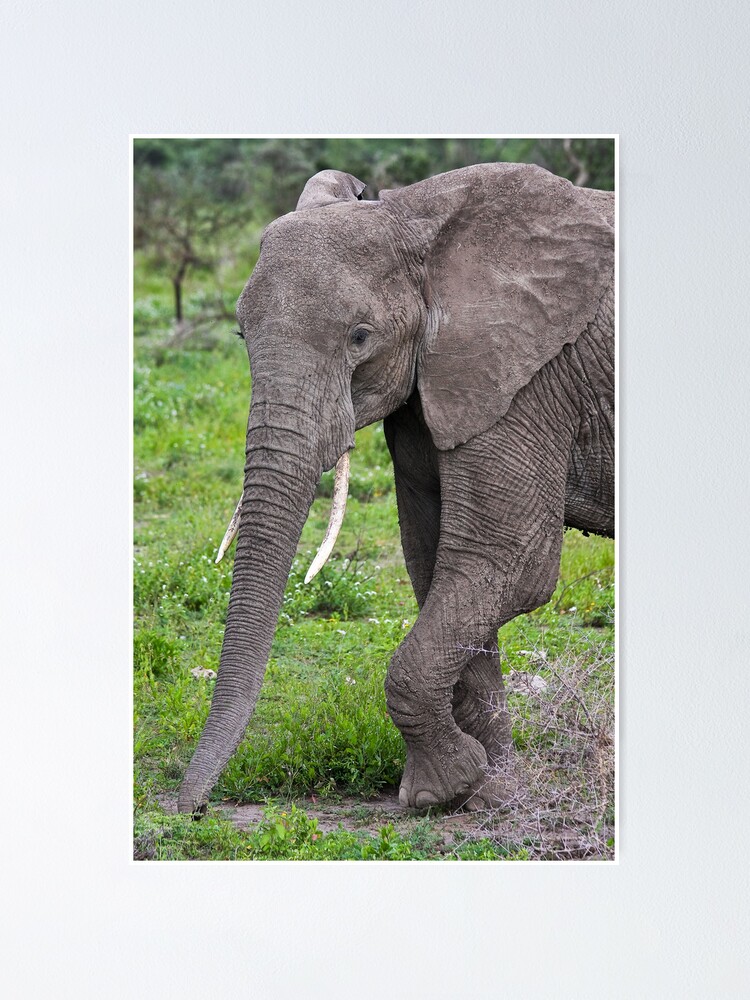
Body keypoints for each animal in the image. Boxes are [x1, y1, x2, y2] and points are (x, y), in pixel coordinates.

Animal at [177, 162, 614, 814]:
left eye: (360, 337)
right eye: (239, 334)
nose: (185, 807)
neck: (413, 220)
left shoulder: (529, 377)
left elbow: (507, 562)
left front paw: (443, 790)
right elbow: (437, 565)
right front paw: (491, 792)